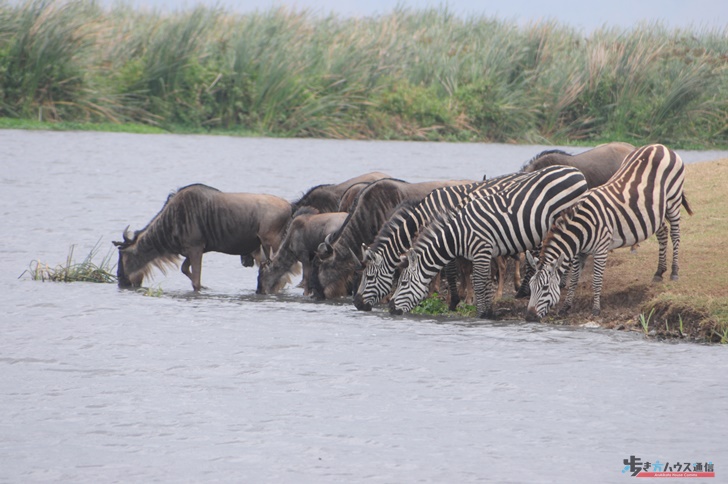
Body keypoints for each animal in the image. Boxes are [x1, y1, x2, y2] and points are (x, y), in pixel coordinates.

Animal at [352, 173, 536, 310]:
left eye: (369, 277)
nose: (357, 303)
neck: (425, 214)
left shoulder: (449, 237)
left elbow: (449, 269)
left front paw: (453, 299)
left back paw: (519, 292)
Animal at [390, 165, 588, 318]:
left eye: (403, 283)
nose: (390, 308)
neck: (457, 235)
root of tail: (575, 171)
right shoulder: (482, 255)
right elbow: (485, 283)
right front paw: (489, 311)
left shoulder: (481, 251)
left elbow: (479, 283)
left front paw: (482, 314)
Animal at [528, 145, 692, 322]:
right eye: (531, 286)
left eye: (545, 288)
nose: (529, 317)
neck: (581, 229)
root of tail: (659, 146)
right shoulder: (580, 252)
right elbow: (574, 279)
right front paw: (566, 307)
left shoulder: (600, 249)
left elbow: (596, 280)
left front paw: (595, 309)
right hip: (654, 211)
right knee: (662, 233)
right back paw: (659, 272)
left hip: (673, 199)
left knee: (675, 234)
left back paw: (674, 272)